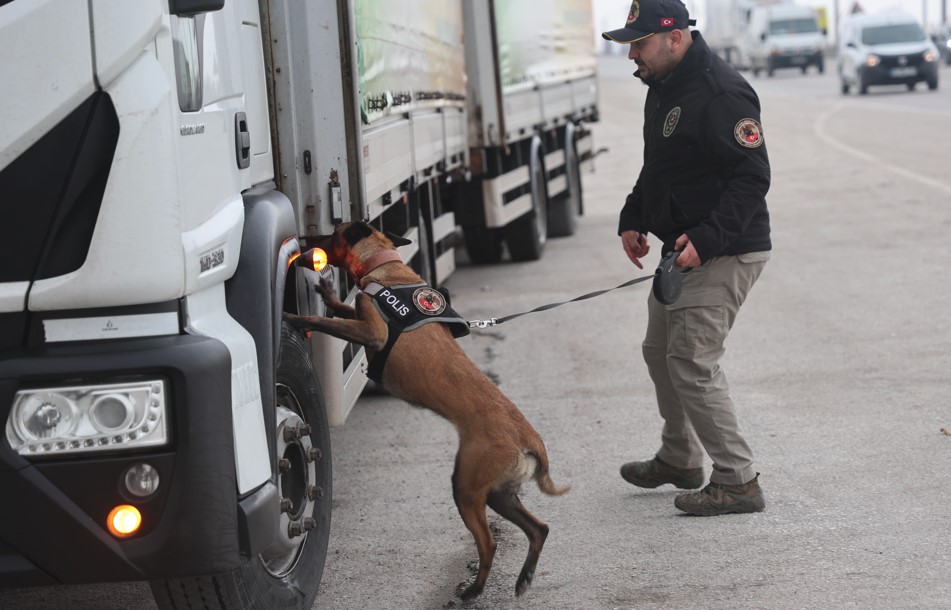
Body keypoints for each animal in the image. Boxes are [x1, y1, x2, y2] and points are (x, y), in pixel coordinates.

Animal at [282, 221, 564, 596]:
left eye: (333, 234)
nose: (307, 241)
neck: (386, 269)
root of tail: (527, 437)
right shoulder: (359, 316)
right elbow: (341, 309)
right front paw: (328, 296)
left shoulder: (371, 332)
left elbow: (327, 321)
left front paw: (292, 316)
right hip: (498, 494)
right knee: (538, 528)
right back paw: (524, 577)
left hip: (467, 489)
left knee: (489, 543)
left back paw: (474, 591)